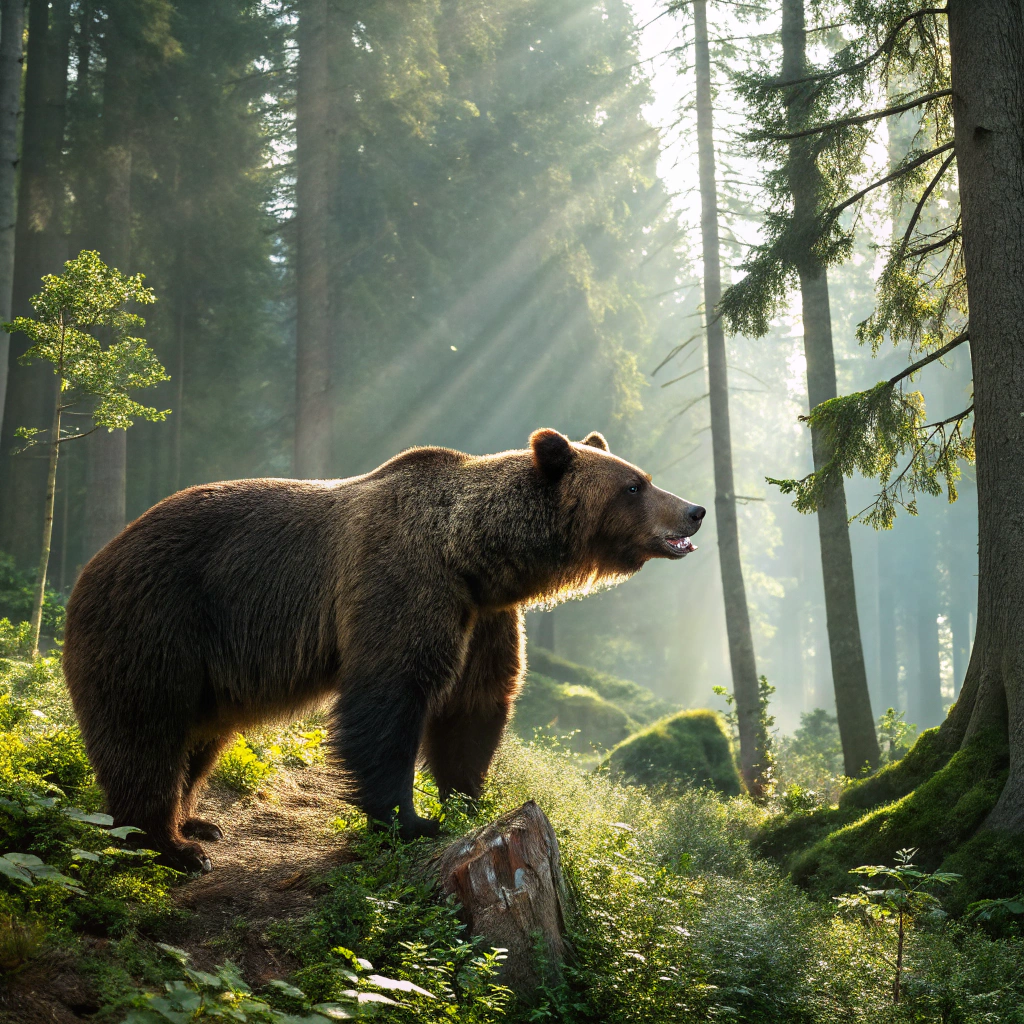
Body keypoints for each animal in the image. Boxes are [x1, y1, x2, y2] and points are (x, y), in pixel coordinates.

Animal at [63, 429, 704, 872]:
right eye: (634, 485)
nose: (694, 510)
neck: (474, 556)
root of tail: (92, 563)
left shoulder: (483, 618)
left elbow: (475, 705)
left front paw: (467, 800)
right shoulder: (403, 583)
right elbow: (391, 698)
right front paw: (409, 820)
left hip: (210, 671)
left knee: (199, 742)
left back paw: (196, 822)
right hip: (160, 623)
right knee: (145, 733)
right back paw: (167, 843)